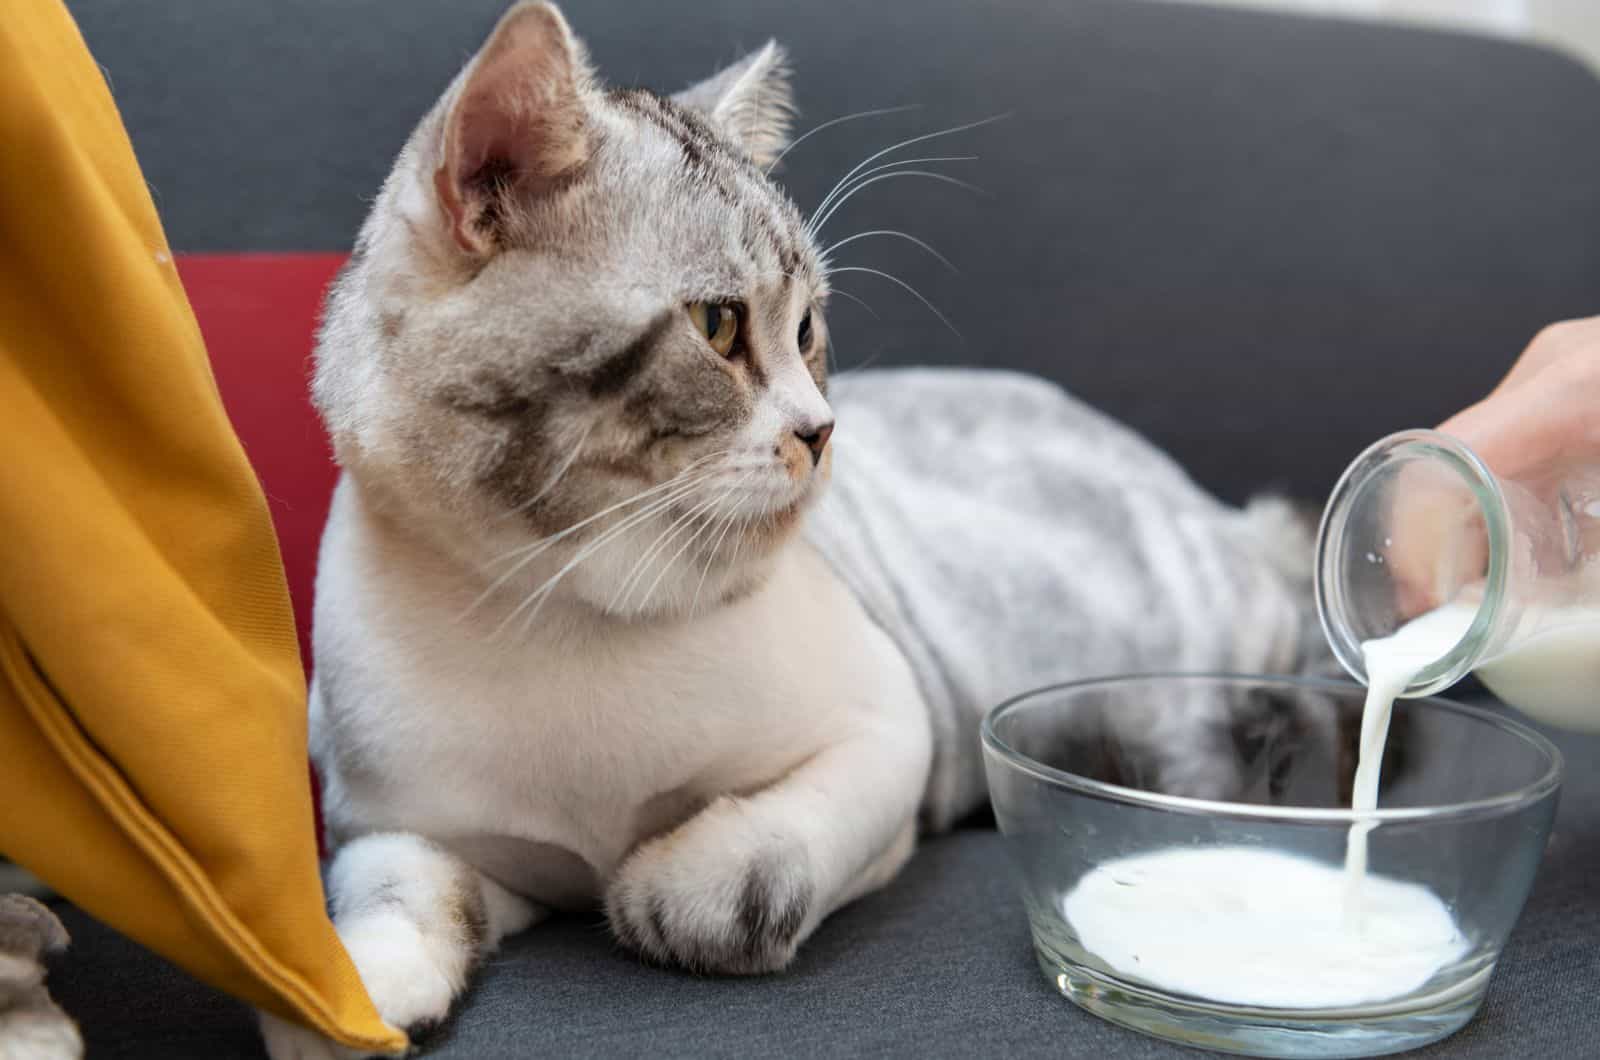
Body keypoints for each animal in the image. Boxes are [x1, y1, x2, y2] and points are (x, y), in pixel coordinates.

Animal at [259, 4, 1312, 1056]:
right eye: (718, 327)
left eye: (807, 331)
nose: (822, 427)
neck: (560, 617)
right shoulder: (389, 826)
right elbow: (385, 895)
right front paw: (345, 999)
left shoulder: (896, 730)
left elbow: (742, 884)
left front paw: (659, 889)